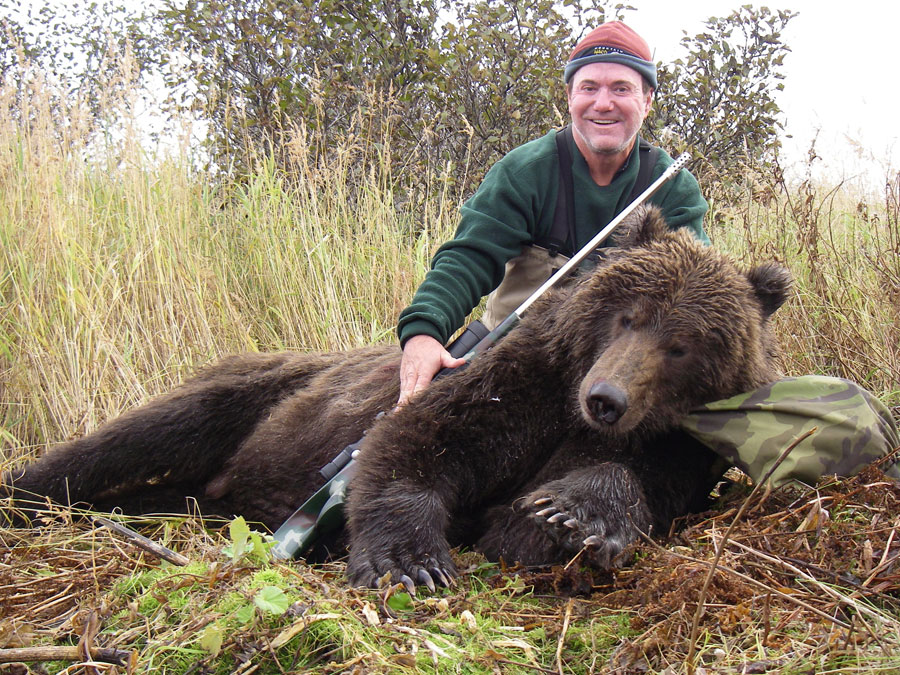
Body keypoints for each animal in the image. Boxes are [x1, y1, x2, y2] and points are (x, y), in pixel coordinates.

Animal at [1, 207, 788, 592]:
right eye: (628, 314)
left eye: (683, 344)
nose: (606, 398)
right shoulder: (520, 381)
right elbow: (417, 443)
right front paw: (410, 562)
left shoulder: (678, 444)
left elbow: (619, 490)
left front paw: (566, 516)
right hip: (253, 393)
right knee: (140, 433)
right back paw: (26, 492)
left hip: (207, 484)